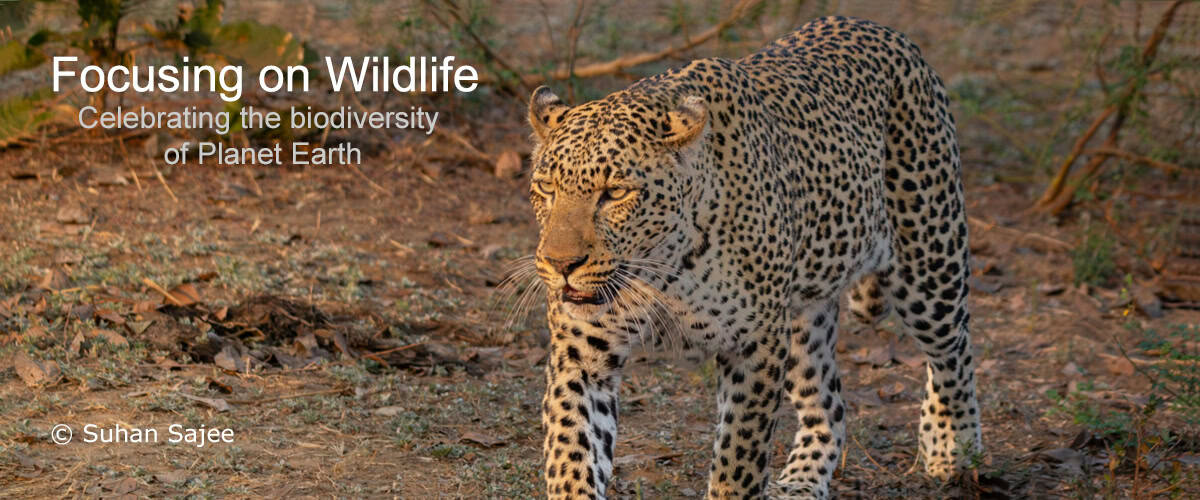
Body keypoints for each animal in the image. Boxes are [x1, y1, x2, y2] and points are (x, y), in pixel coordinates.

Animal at [521, 15, 981, 499]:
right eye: (546, 188)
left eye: (615, 194)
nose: (561, 265)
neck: (661, 272)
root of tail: (883, 29)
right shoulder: (581, 357)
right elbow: (573, 456)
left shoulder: (755, 347)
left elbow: (737, 462)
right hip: (801, 320)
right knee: (829, 404)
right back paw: (801, 481)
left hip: (929, 264)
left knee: (955, 353)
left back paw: (953, 448)